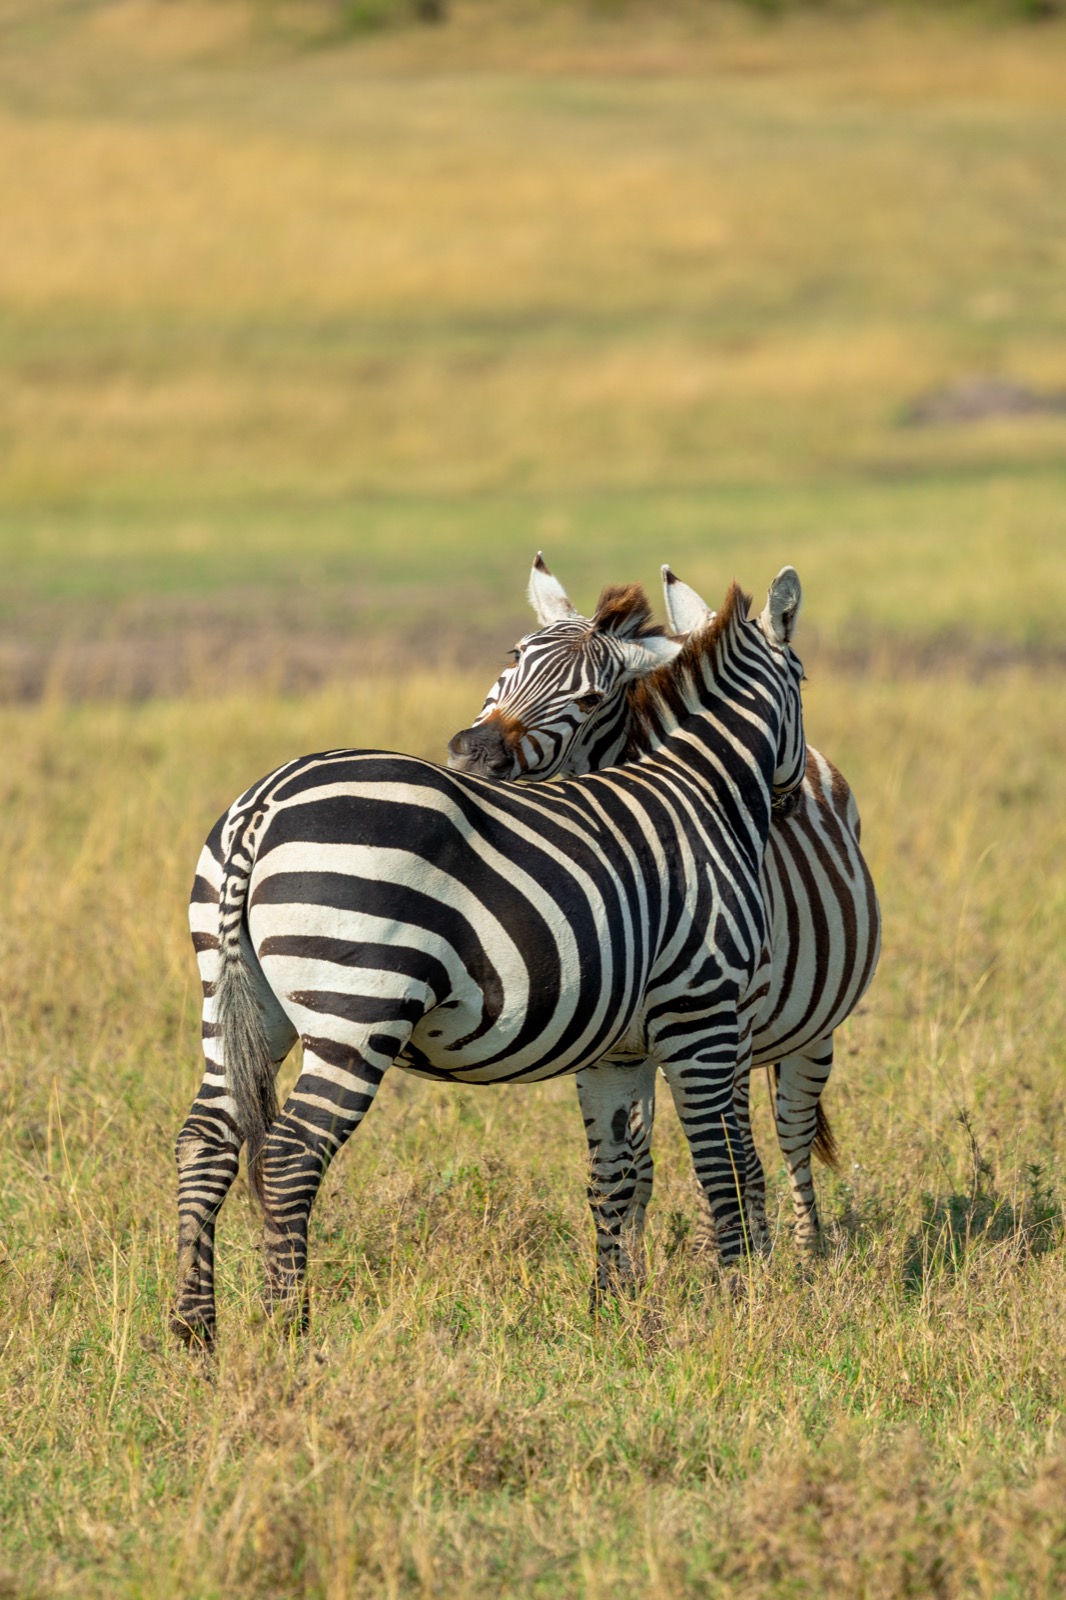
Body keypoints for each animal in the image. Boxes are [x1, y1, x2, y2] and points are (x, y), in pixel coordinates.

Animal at [172, 568, 806, 1345]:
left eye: (592, 697)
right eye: (805, 683)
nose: (792, 800)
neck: (701, 789)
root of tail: (264, 805)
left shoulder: (621, 1051)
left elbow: (619, 1171)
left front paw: (614, 1310)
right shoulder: (705, 1013)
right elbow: (727, 1161)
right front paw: (744, 1301)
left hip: (237, 998)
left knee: (206, 1140)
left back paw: (194, 1331)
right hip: (359, 1004)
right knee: (292, 1152)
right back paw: (288, 1327)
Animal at [448, 554, 881, 1259]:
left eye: (592, 698)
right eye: (513, 654)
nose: (473, 753)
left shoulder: (728, 1021)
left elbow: (735, 1154)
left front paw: (738, 1253)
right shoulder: (611, 1040)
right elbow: (633, 1161)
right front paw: (634, 1254)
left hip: (811, 1028)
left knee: (789, 1136)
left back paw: (805, 1251)